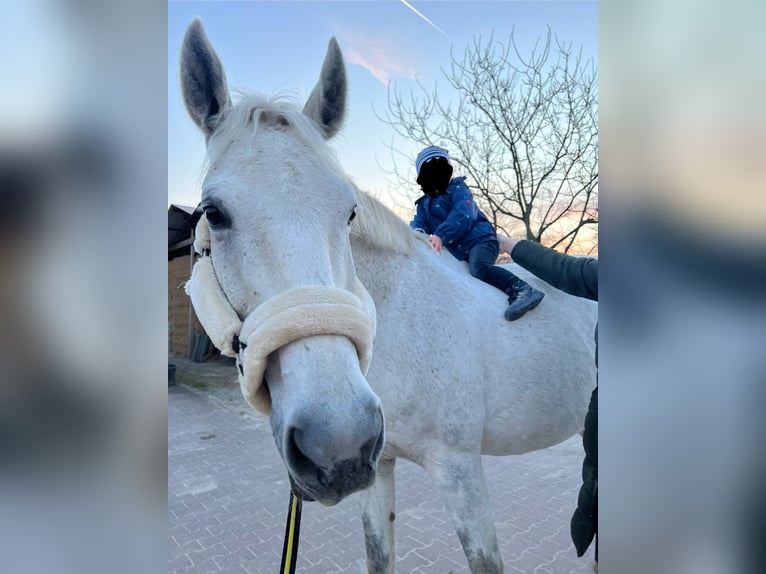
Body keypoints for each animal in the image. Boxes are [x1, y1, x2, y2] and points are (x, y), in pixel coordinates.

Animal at [182, 19, 600, 574]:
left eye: (349, 212)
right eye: (214, 212)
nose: (333, 440)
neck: (403, 324)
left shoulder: (461, 470)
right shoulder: (377, 470)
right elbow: (379, 554)